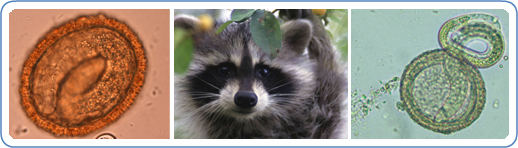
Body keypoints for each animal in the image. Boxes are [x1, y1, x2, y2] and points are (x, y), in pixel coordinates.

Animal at [176, 9, 350, 139]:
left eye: (264, 71)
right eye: (225, 70)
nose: (245, 98)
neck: (246, 122)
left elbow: (331, 98)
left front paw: (315, 25)